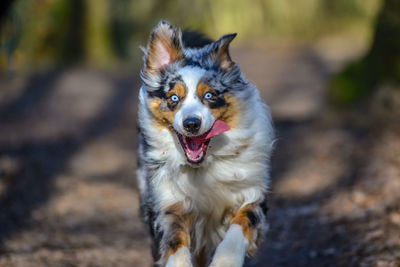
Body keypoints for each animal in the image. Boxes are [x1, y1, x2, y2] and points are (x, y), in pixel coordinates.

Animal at [138, 21, 276, 267]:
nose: (192, 123)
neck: (203, 166)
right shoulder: (169, 202)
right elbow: (175, 242)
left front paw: (225, 261)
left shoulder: (252, 193)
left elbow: (240, 226)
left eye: (210, 95)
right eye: (174, 98)